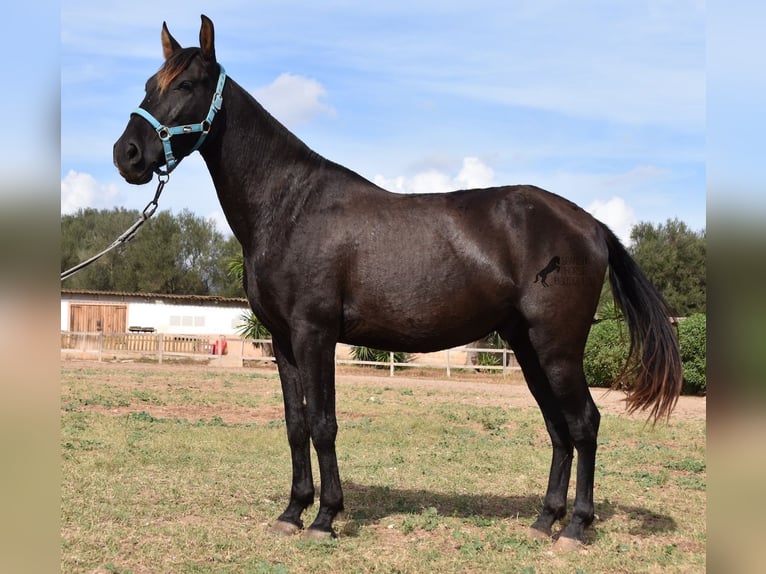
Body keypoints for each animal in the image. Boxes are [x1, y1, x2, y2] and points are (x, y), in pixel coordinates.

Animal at [112, 15, 684, 552]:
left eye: (187, 85)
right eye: (150, 83)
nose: (128, 155)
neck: (292, 206)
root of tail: (591, 224)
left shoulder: (315, 333)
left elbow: (323, 423)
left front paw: (325, 517)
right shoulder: (282, 340)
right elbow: (296, 425)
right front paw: (292, 512)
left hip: (558, 347)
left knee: (584, 423)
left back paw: (577, 526)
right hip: (527, 347)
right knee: (558, 428)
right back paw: (546, 519)